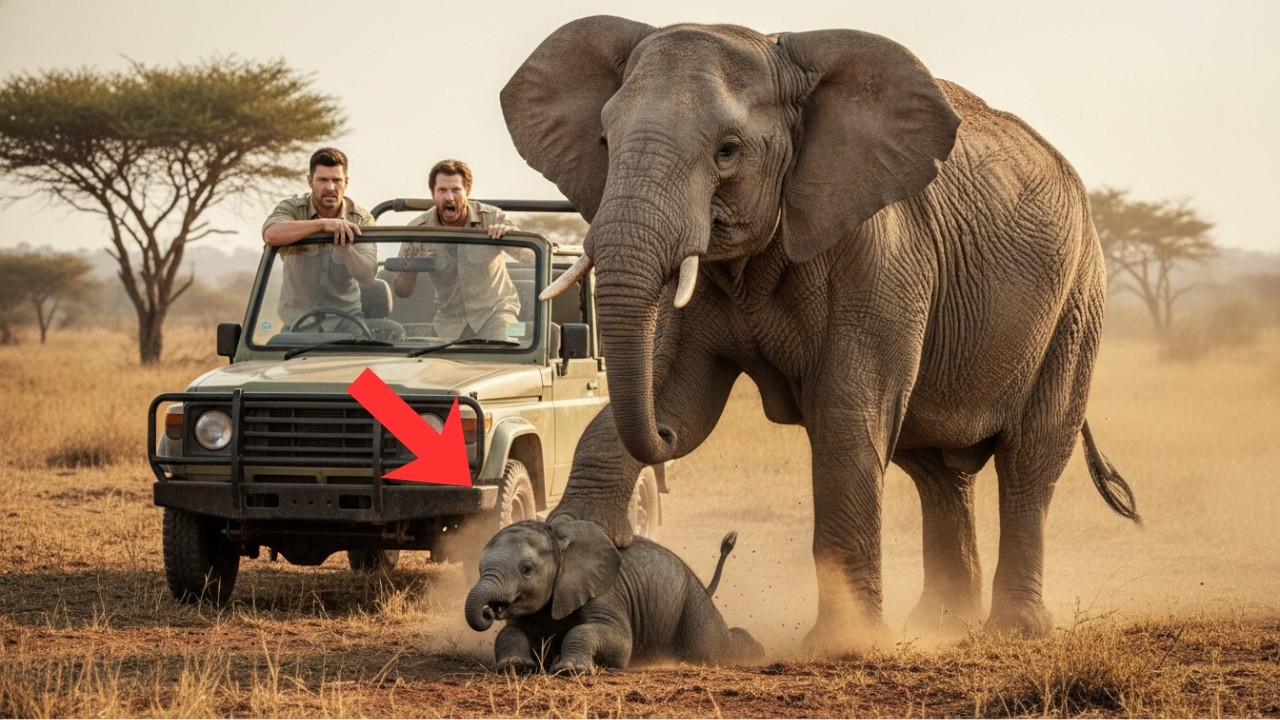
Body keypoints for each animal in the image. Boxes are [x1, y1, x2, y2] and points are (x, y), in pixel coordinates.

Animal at [464, 519, 763, 673]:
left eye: (526, 570)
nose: (490, 610)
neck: (560, 543)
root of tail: (701, 585)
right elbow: (512, 632)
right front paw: (516, 667)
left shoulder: (607, 592)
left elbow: (618, 640)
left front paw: (571, 670)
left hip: (693, 606)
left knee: (712, 648)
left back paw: (757, 650)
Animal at [500, 16, 1142, 648]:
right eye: (605, 143)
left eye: (728, 151)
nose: (661, 436)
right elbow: (681, 397)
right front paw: (572, 542)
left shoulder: (881, 256)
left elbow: (844, 419)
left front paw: (845, 645)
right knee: (937, 473)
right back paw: (940, 629)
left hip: (1077, 303)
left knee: (1029, 462)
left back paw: (1014, 632)